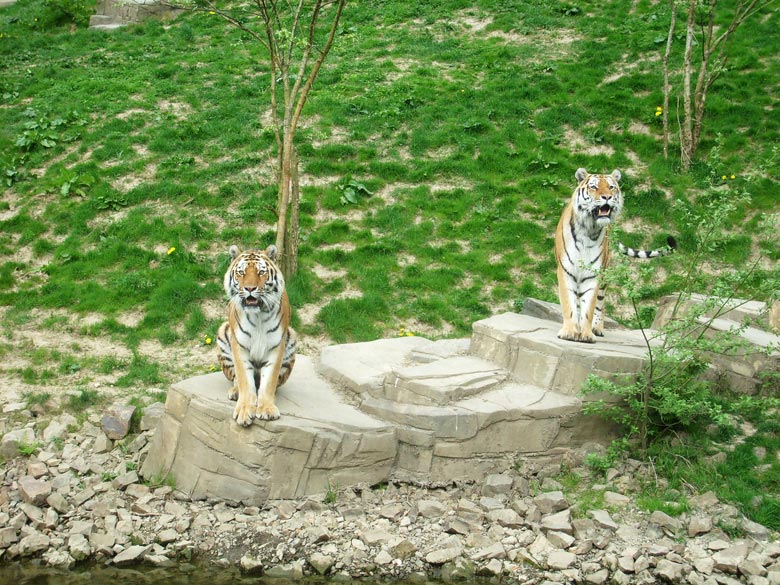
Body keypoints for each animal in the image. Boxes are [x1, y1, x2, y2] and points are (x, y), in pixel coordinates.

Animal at [215, 244, 298, 426]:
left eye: (261, 272)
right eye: (241, 272)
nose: (250, 288)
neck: (258, 314)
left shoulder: (276, 345)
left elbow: (269, 381)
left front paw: (267, 409)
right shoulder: (239, 345)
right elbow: (245, 379)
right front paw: (245, 410)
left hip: (292, 337)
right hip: (223, 332)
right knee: (236, 379)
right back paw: (235, 392)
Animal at [556, 168, 676, 342]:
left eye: (611, 187)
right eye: (594, 187)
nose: (607, 197)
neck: (589, 230)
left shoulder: (593, 275)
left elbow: (588, 307)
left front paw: (586, 334)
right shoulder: (566, 271)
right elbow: (568, 303)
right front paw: (569, 332)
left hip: (604, 275)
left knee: (601, 303)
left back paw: (597, 328)